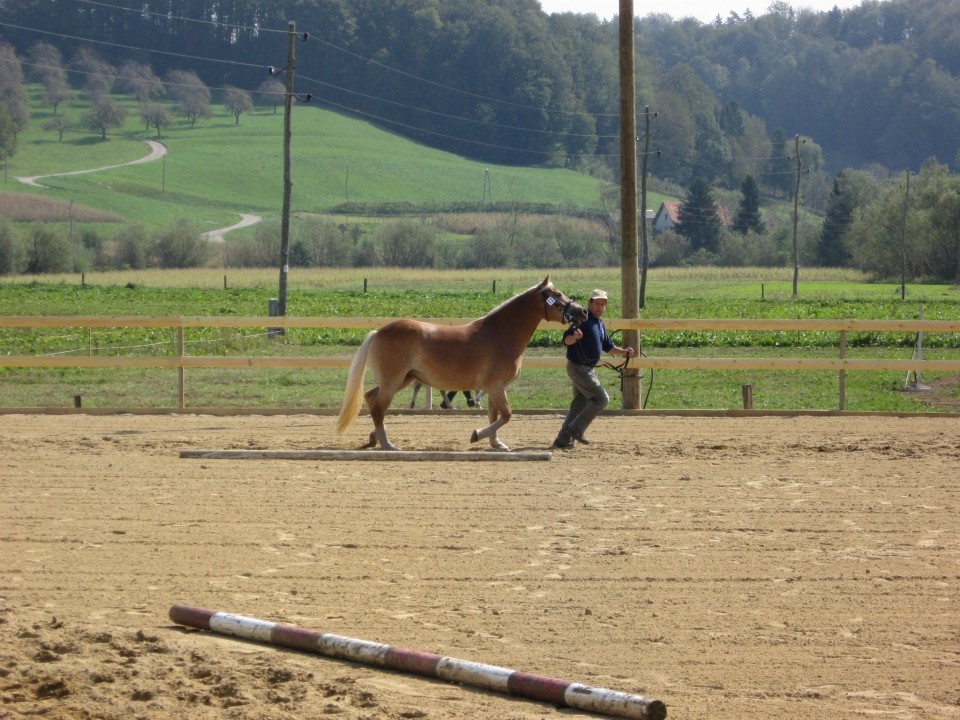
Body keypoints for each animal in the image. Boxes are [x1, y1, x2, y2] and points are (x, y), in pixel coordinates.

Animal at [338, 278, 592, 450]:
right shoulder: (496, 387)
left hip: (404, 379)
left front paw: (496, 444)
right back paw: (387, 444)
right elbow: (506, 414)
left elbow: (495, 415)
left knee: (371, 398)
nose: (582, 312)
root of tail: (378, 332)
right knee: (378, 409)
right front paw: (477, 435)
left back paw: (374, 438)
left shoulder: (494, 388)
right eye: (557, 294)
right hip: (394, 381)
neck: (500, 334)